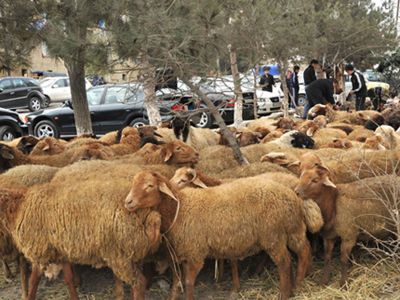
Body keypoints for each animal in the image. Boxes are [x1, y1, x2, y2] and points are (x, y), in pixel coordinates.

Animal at [0, 180, 162, 300]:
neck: (19, 207)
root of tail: (149, 214)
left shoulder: (39, 251)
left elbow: (33, 282)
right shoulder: (61, 251)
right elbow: (68, 279)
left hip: (120, 256)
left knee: (139, 283)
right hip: (133, 253)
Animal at [126, 171, 314, 300]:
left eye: (150, 185)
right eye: (133, 183)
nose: (128, 202)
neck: (181, 209)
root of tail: (291, 194)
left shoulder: (196, 253)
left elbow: (188, 283)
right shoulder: (183, 254)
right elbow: (176, 283)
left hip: (273, 235)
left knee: (284, 262)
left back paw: (285, 293)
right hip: (293, 229)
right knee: (304, 250)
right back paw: (297, 285)